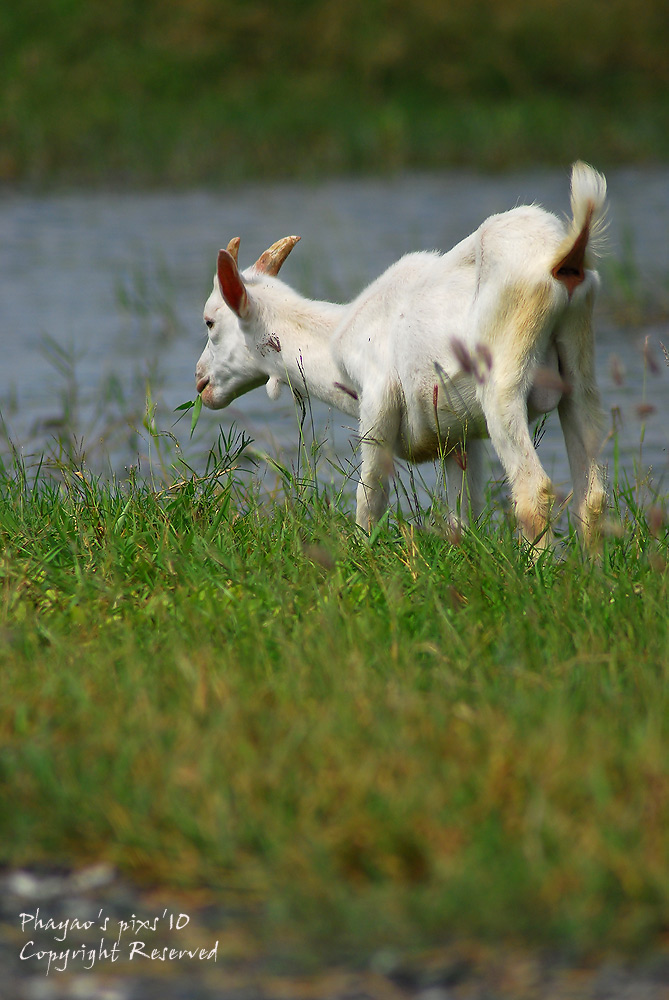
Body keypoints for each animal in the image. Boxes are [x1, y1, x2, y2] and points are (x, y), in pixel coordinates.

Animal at [196, 164, 608, 544]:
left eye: (209, 322)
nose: (201, 382)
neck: (336, 342)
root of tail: (564, 260)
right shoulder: (457, 435)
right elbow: (462, 513)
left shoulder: (377, 404)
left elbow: (370, 499)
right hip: (580, 372)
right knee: (591, 495)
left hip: (502, 378)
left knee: (533, 491)